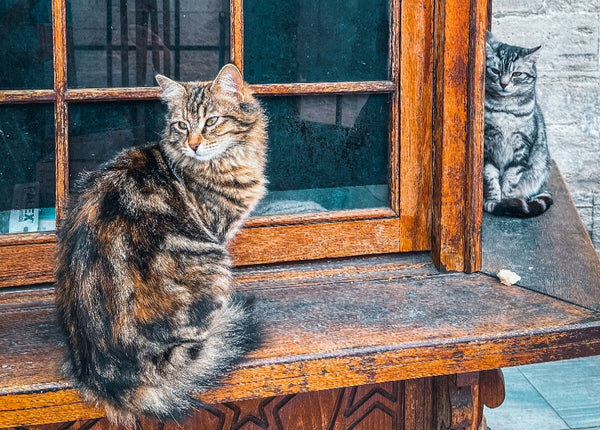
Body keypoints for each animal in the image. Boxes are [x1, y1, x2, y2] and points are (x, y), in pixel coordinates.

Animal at [55, 64, 266, 424]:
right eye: (182, 125)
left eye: (211, 121)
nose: (194, 145)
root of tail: (106, 377)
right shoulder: (218, 231)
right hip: (213, 262)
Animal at [482, 32, 552, 218]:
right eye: (495, 70)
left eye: (517, 74)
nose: (504, 83)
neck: (505, 110)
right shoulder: (487, 144)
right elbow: (490, 176)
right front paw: (493, 200)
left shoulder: (522, 146)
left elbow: (511, 178)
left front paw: (506, 201)